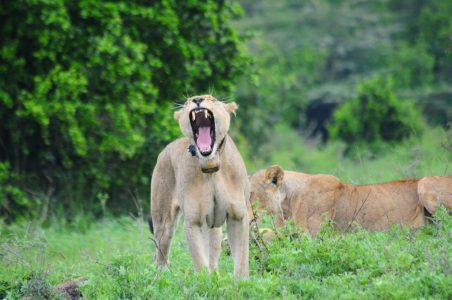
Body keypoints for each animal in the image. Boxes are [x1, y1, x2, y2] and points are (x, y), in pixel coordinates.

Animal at [149, 95, 249, 278]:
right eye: (187, 101)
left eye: (213, 99)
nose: (197, 99)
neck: (210, 166)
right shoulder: (194, 221)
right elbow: (200, 263)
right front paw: (205, 282)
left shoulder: (238, 216)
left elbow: (241, 260)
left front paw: (241, 282)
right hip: (164, 224)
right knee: (159, 256)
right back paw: (159, 279)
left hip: (214, 227)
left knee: (213, 255)